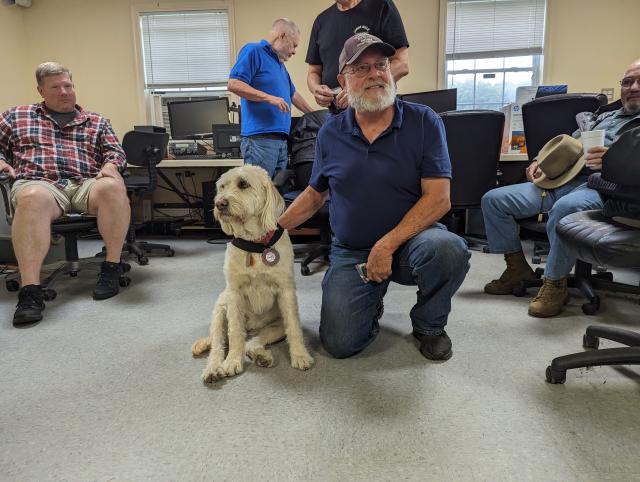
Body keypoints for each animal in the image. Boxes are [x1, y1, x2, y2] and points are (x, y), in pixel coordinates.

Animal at [192, 164, 316, 382]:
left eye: (243, 184)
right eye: (222, 187)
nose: (219, 204)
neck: (255, 243)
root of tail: (252, 329)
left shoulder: (286, 292)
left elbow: (294, 328)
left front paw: (300, 355)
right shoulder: (234, 295)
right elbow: (234, 333)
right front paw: (232, 361)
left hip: (275, 327)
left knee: (252, 342)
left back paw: (261, 355)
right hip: (219, 312)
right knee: (219, 344)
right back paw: (213, 368)